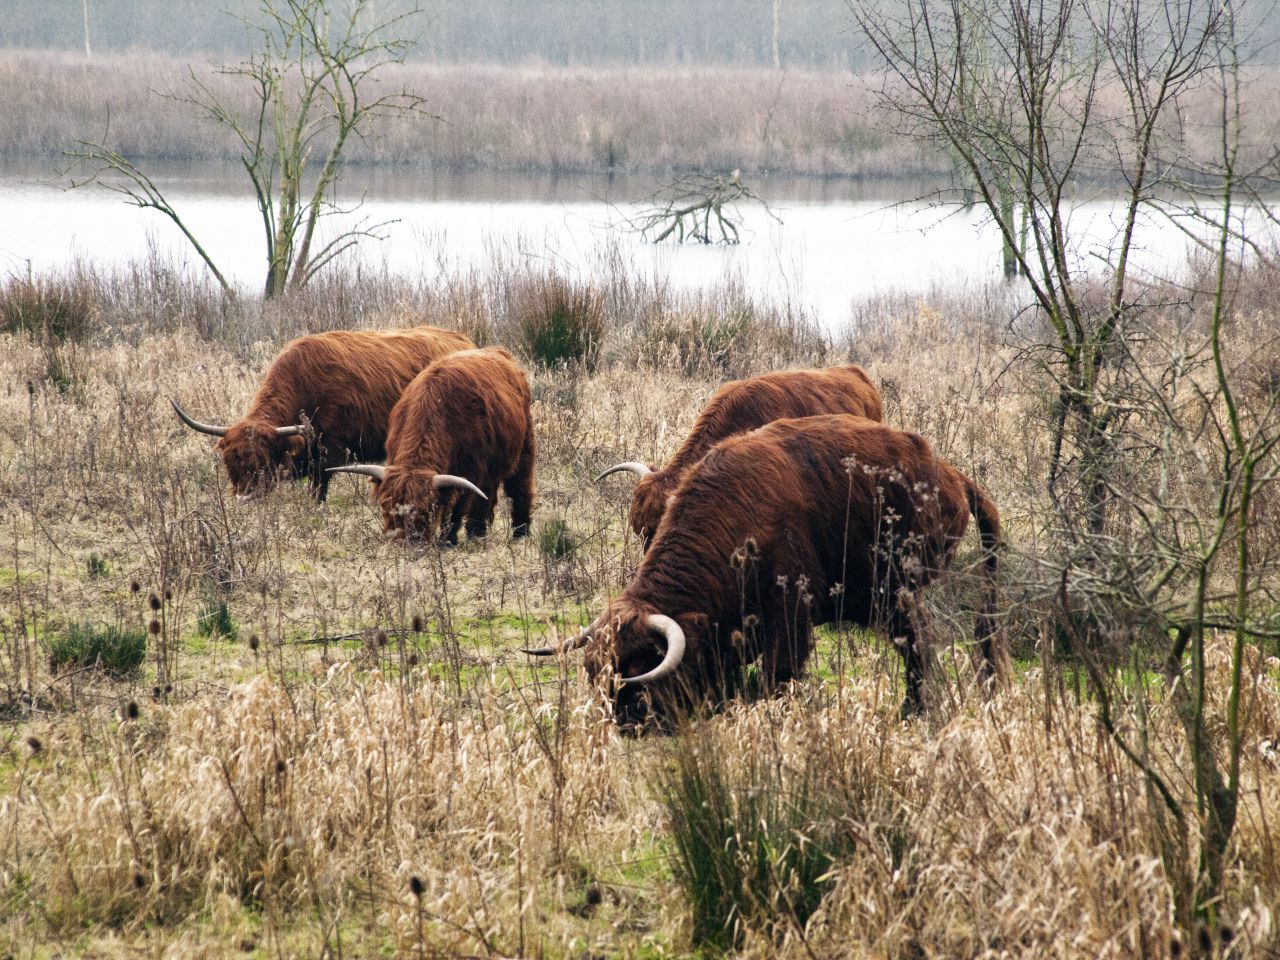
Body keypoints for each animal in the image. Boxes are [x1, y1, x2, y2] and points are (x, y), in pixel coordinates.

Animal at [168, 325, 471, 499]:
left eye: (264, 461)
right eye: (231, 461)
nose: (246, 497)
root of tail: (461, 339)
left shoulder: (329, 454)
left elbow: (317, 491)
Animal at [330, 348, 535, 545]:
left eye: (425, 511)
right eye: (387, 506)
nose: (404, 542)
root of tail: (500, 353)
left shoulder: (470, 473)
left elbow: (455, 510)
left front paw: (448, 540)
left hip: (524, 450)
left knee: (519, 490)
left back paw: (519, 533)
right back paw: (477, 533)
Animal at [529, 414, 998, 727]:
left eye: (638, 666)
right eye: (594, 670)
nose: (621, 722)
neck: (735, 519)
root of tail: (950, 476)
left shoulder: (789, 616)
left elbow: (780, 674)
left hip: (896, 591)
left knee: (917, 641)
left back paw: (912, 709)